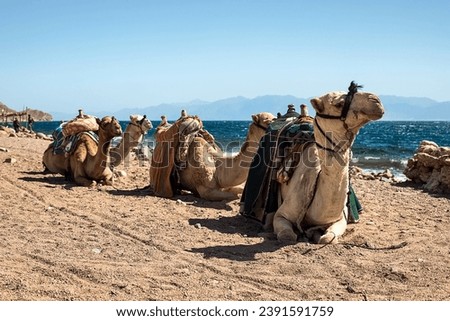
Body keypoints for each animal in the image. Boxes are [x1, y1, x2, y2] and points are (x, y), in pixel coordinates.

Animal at [268, 82, 384, 242]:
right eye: (338, 103)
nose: (376, 101)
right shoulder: (281, 214)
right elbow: (287, 235)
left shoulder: (341, 218)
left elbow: (328, 238)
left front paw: (317, 234)